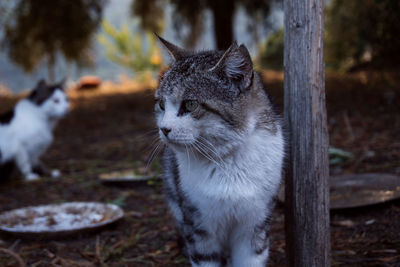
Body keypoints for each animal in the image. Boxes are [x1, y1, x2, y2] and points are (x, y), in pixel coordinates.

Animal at [154, 36, 284, 267]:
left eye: (190, 104)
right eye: (161, 104)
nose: (164, 129)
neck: (227, 160)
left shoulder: (255, 225)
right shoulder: (199, 227)